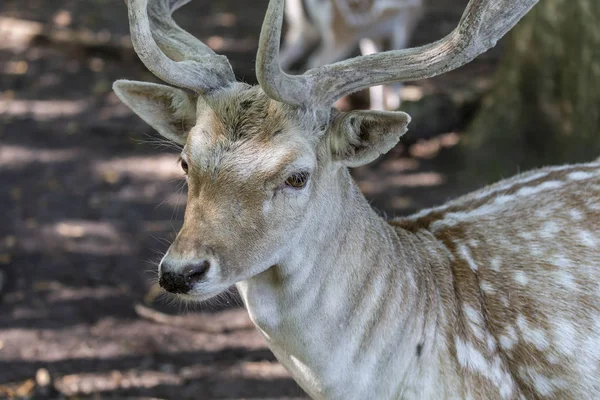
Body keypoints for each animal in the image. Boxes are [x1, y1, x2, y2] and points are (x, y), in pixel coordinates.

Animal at [278, 0, 424, 109]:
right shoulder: (407, 18)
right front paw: (395, 105)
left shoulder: (372, 32)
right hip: (341, 30)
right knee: (316, 61)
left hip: (301, 28)